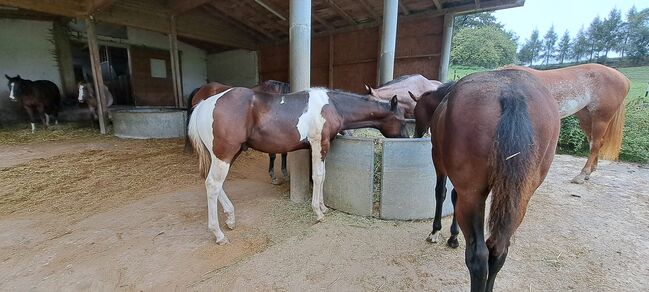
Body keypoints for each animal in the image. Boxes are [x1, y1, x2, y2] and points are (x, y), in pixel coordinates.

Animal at [187, 86, 404, 244]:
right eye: (402, 120)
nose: (407, 139)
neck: (332, 105)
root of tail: (205, 104)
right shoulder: (318, 143)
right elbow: (318, 176)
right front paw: (318, 212)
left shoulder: (322, 146)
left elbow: (323, 175)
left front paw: (323, 207)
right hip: (224, 154)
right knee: (212, 185)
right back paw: (219, 234)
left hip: (228, 154)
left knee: (215, 184)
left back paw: (230, 219)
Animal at [412, 69, 560, 290]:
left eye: (414, 111)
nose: (415, 134)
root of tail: (511, 93)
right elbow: (453, 197)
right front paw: (453, 236)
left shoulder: (438, 160)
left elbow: (442, 193)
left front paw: (438, 232)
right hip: (518, 199)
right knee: (498, 251)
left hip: (473, 195)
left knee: (478, 258)